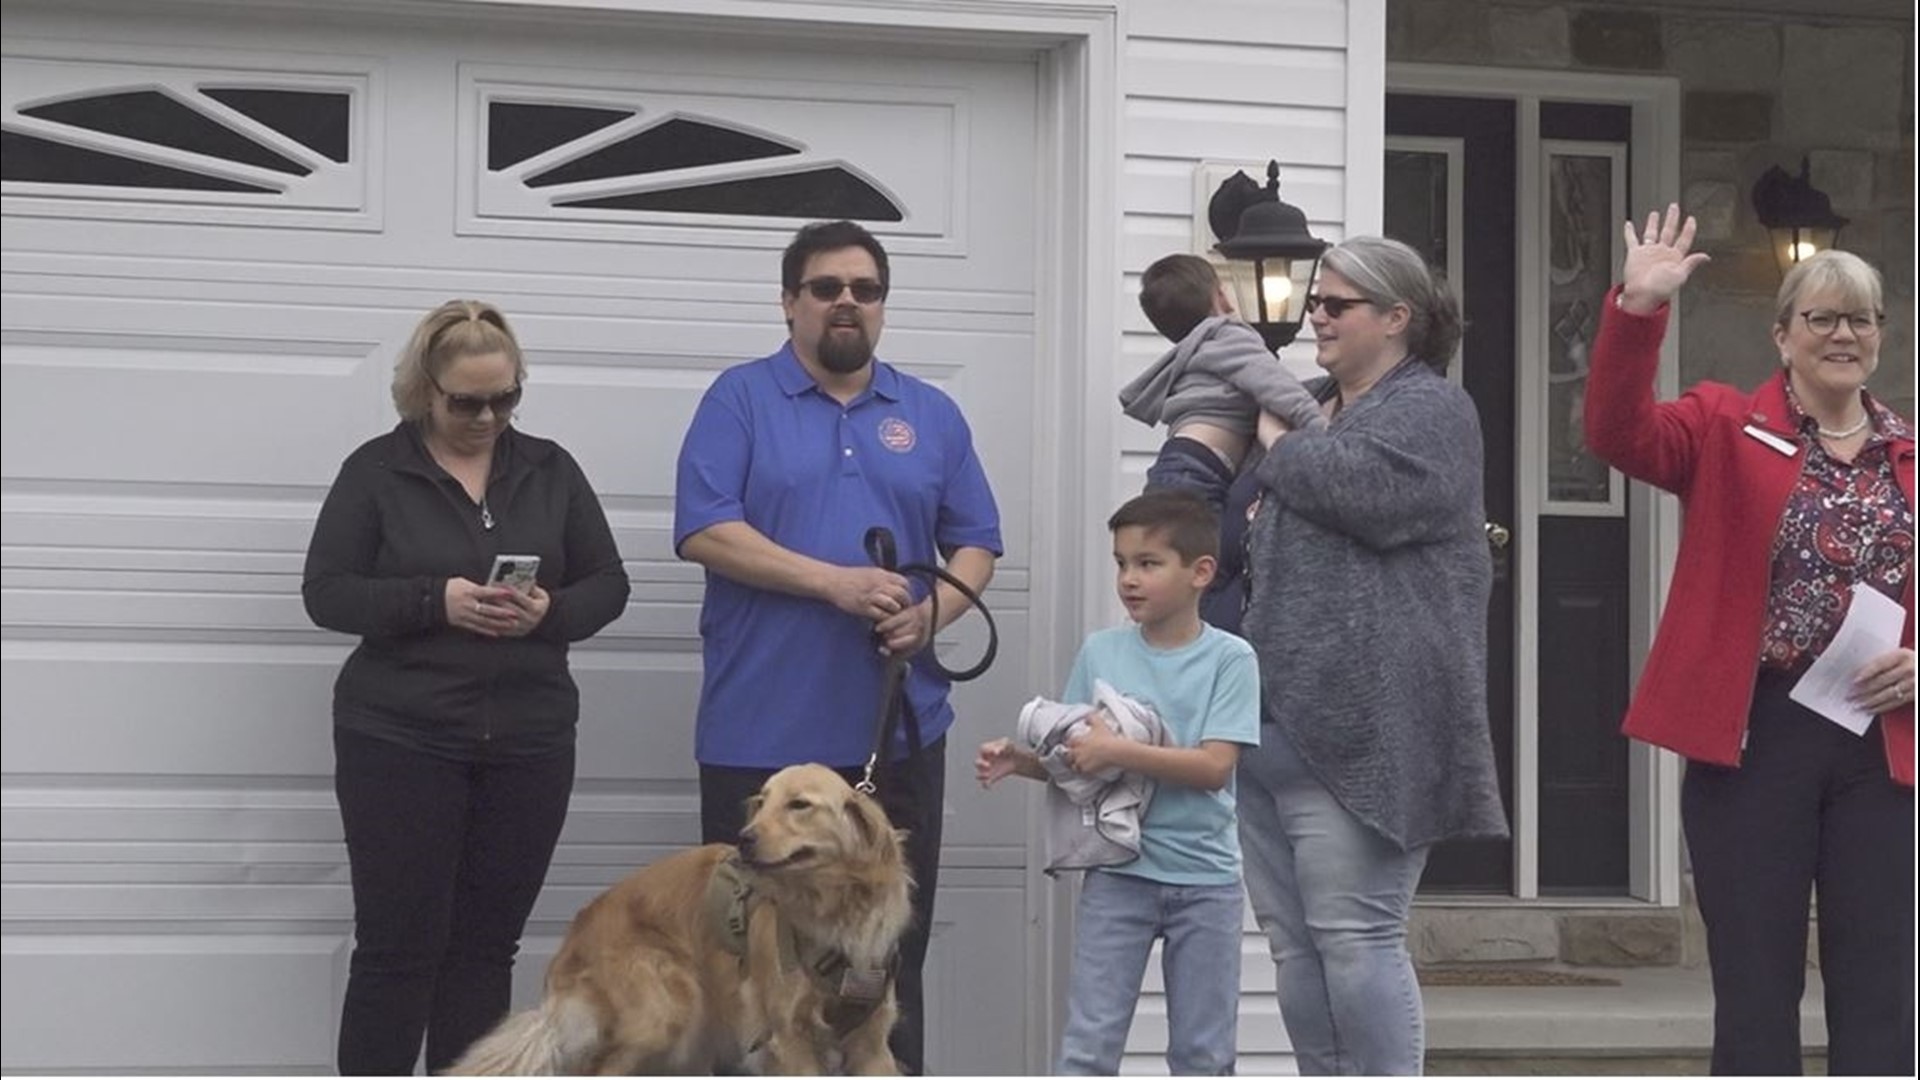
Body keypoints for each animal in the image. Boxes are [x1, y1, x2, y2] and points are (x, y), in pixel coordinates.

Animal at [445, 760, 910, 1068]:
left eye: (800, 805)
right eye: (762, 802)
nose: (744, 838)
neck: (834, 909)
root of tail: (576, 930)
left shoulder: (872, 1043)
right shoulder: (787, 1036)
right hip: (664, 1010)